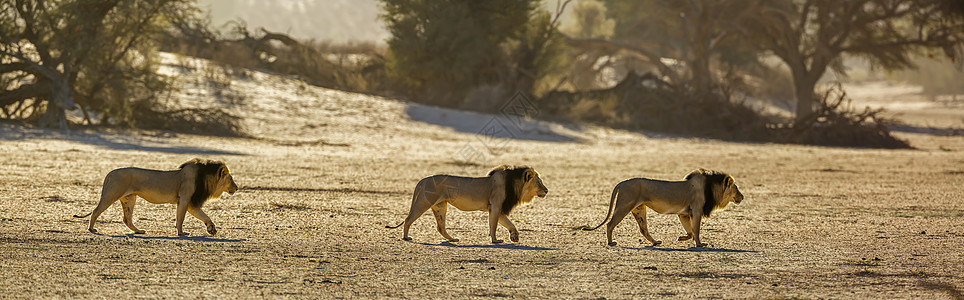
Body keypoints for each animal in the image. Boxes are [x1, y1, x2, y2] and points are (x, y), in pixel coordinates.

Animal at [74, 158, 239, 236]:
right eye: (231, 179)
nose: (237, 187)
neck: (206, 178)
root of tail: (109, 173)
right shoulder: (185, 199)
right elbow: (181, 218)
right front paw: (181, 233)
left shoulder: (190, 203)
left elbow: (204, 216)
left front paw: (211, 228)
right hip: (111, 194)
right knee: (96, 211)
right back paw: (91, 229)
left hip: (129, 198)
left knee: (127, 219)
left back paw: (138, 231)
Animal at [386, 164, 548, 244]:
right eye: (539, 182)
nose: (547, 190)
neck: (515, 185)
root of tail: (422, 180)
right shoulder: (495, 206)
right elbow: (494, 225)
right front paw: (495, 240)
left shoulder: (497, 209)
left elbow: (509, 223)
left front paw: (514, 236)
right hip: (424, 202)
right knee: (408, 219)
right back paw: (406, 237)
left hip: (440, 206)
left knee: (440, 227)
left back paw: (452, 239)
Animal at [580, 170, 744, 247]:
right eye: (736, 188)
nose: (742, 197)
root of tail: (621, 182)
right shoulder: (696, 210)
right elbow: (696, 230)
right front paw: (700, 244)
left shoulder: (684, 213)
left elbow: (690, 231)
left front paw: (681, 238)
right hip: (624, 206)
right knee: (610, 224)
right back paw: (611, 242)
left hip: (639, 209)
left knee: (643, 229)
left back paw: (655, 242)